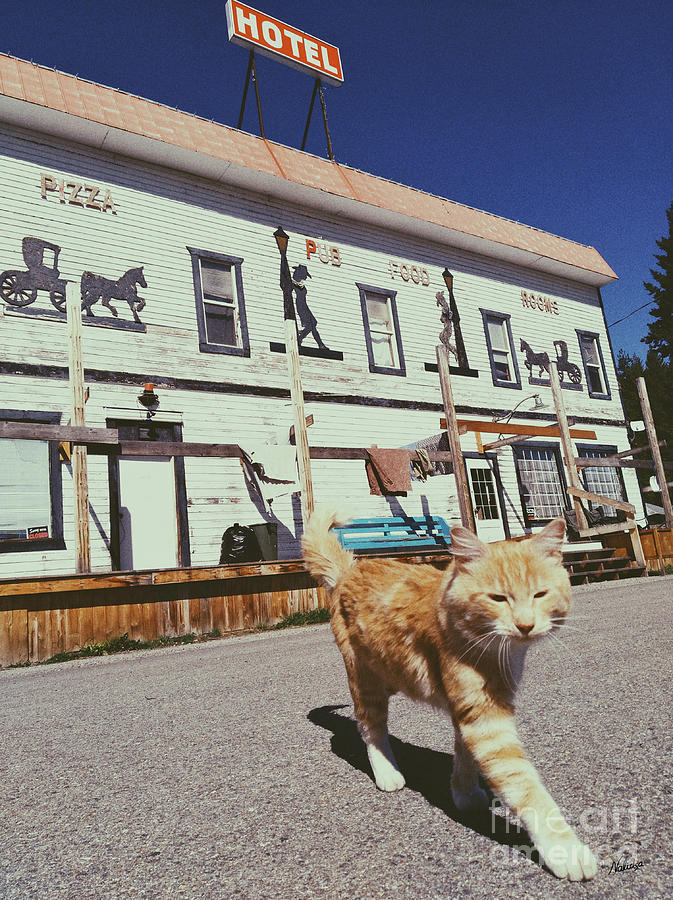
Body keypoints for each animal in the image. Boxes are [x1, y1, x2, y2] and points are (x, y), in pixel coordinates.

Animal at [302, 510, 596, 884]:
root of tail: (351, 569)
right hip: (365, 680)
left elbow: (464, 752)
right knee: (369, 728)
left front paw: (464, 792)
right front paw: (564, 849)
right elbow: (525, 787)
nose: (525, 625)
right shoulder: (487, 722)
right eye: (498, 598)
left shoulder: (469, 711)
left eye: (539, 594)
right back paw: (386, 772)